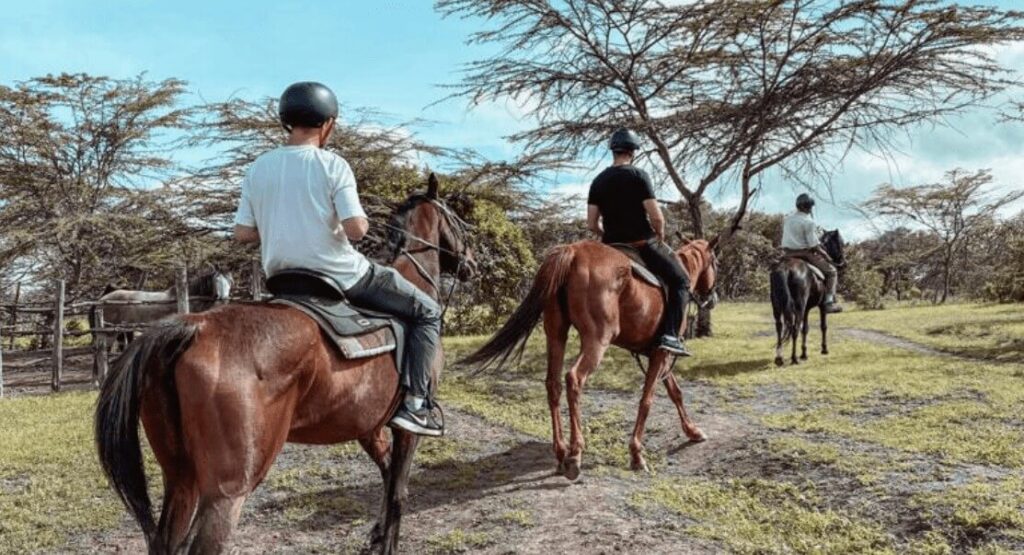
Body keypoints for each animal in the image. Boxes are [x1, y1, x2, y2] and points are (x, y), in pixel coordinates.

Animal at [93, 175, 475, 555]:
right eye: (457, 220)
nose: (471, 263)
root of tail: (195, 326)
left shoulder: (369, 426)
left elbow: (386, 477)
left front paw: (376, 535)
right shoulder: (405, 429)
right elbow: (398, 491)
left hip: (180, 478)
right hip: (227, 491)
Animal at [464, 238, 720, 479]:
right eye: (716, 263)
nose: (712, 297)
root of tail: (573, 251)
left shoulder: (657, 354)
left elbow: (675, 392)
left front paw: (692, 431)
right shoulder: (661, 353)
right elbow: (647, 400)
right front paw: (637, 454)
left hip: (556, 333)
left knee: (553, 384)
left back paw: (561, 453)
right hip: (597, 340)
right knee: (574, 379)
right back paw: (575, 454)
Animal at [770, 228, 843, 368]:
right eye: (841, 242)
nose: (843, 262)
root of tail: (785, 268)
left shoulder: (807, 309)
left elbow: (805, 329)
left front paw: (804, 353)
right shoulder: (821, 307)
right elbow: (823, 326)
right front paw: (824, 349)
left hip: (776, 306)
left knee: (779, 327)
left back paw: (779, 358)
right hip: (799, 306)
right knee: (794, 328)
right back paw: (794, 358)